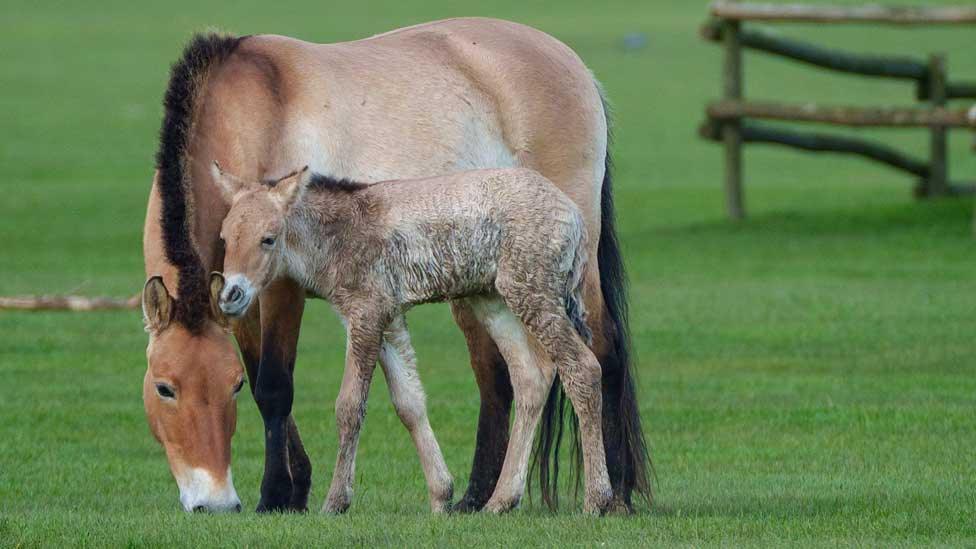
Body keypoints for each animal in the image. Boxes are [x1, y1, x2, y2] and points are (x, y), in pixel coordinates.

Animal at [214, 163, 612, 512]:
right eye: (225, 238)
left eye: (268, 239)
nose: (231, 295)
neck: (339, 235)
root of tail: (574, 215)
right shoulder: (389, 319)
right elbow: (409, 403)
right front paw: (440, 497)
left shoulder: (365, 314)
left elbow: (349, 407)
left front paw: (335, 502)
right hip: (493, 299)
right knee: (531, 377)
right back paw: (500, 501)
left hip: (533, 294)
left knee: (583, 369)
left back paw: (597, 500)